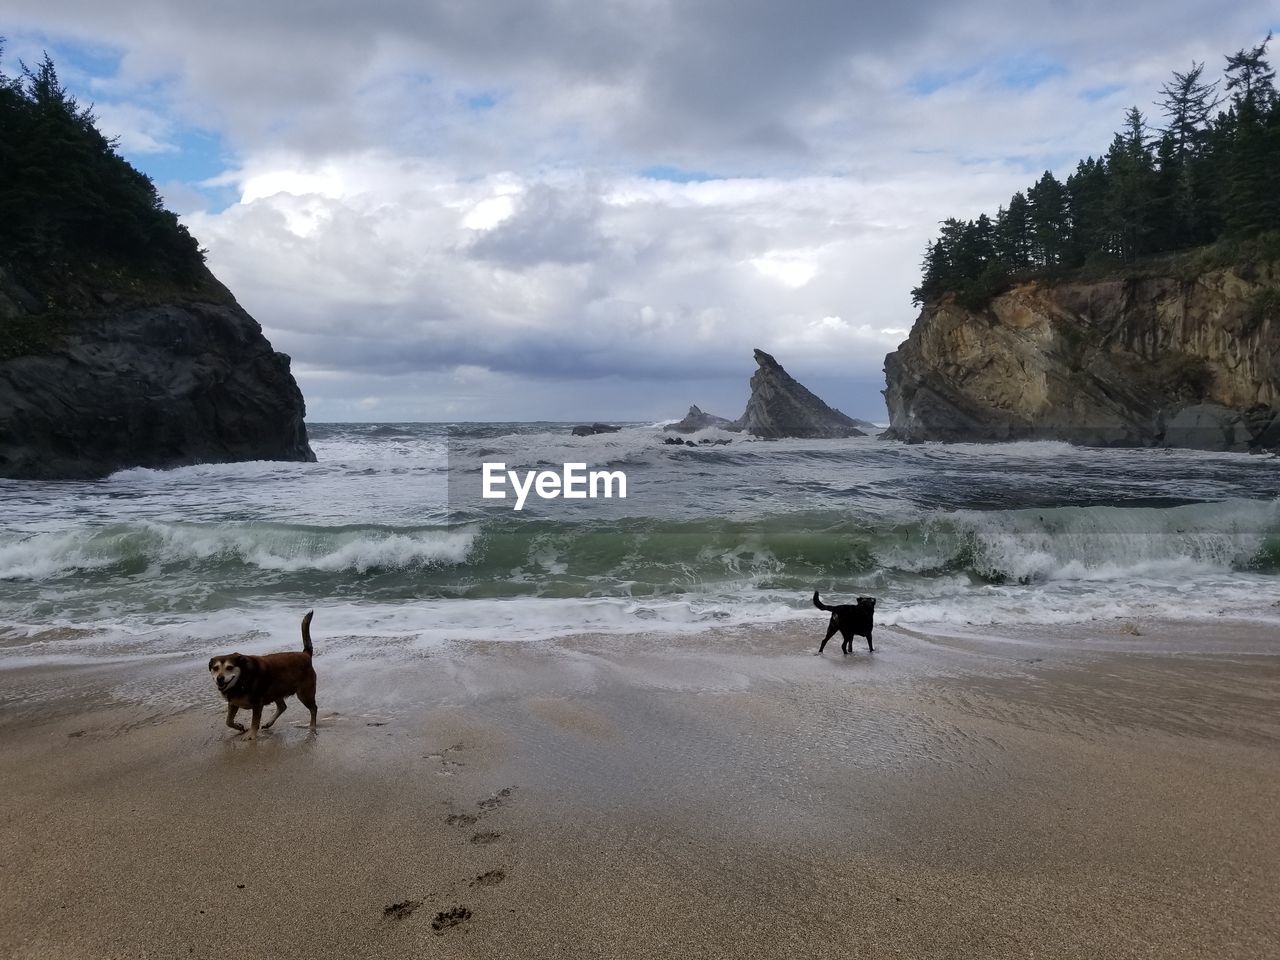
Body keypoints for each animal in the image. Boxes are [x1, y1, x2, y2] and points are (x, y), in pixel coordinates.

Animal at [208, 611, 318, 742]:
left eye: (229, 667)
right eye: (215, 668)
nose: (220, 678)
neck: (241, 680)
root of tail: (306, 654)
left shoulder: (257, 704)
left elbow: (254, 721)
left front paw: (251, 735)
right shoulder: (233, 703)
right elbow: (228, 721)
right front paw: (239, 726)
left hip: (304, 693)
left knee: (313, 709)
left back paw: (312, 727)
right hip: (276, 690)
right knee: (282, 706)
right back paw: (269, 723)